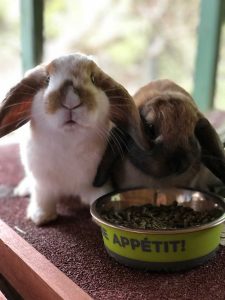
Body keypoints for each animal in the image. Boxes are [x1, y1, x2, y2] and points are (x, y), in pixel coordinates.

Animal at [0, 52, 148, 224]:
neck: (68, 141)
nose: (71, 100)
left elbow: (99, 195)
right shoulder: (42, 184)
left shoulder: (98, 184)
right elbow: (43, 198)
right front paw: (41, 217)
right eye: (47, 80)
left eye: (93, 79)